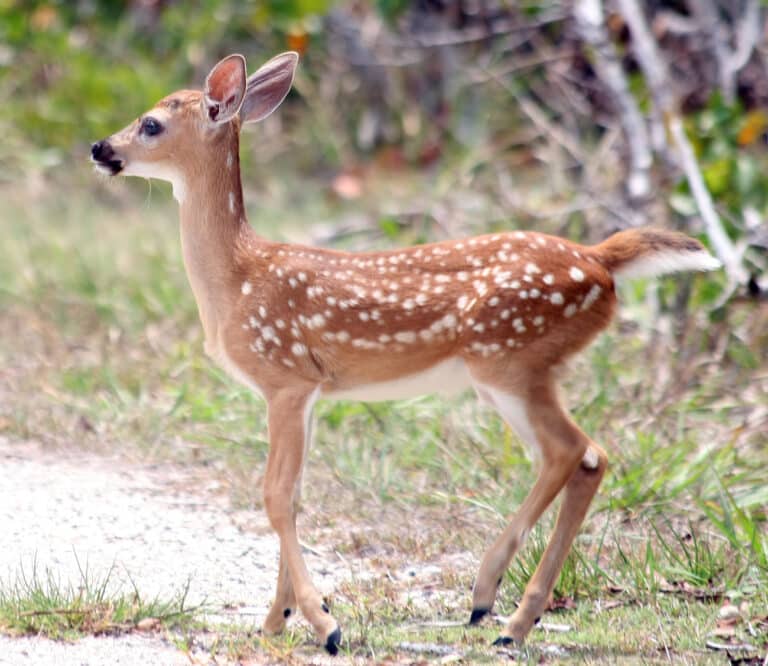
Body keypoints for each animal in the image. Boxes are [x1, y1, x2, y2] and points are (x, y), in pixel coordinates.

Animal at [91, 51, 721, 655]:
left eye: (151, 123)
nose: (100, 148)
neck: (237, 279)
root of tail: (601, 261)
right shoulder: (311, 389)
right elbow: (295, 495)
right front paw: (275, 622)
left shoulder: (285, 376)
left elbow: (274, 496)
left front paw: (324, 624)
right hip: (519, 369)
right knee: (586, 458)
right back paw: (510, 614)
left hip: (509, 357)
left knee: (571, 450)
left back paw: (494, 602)